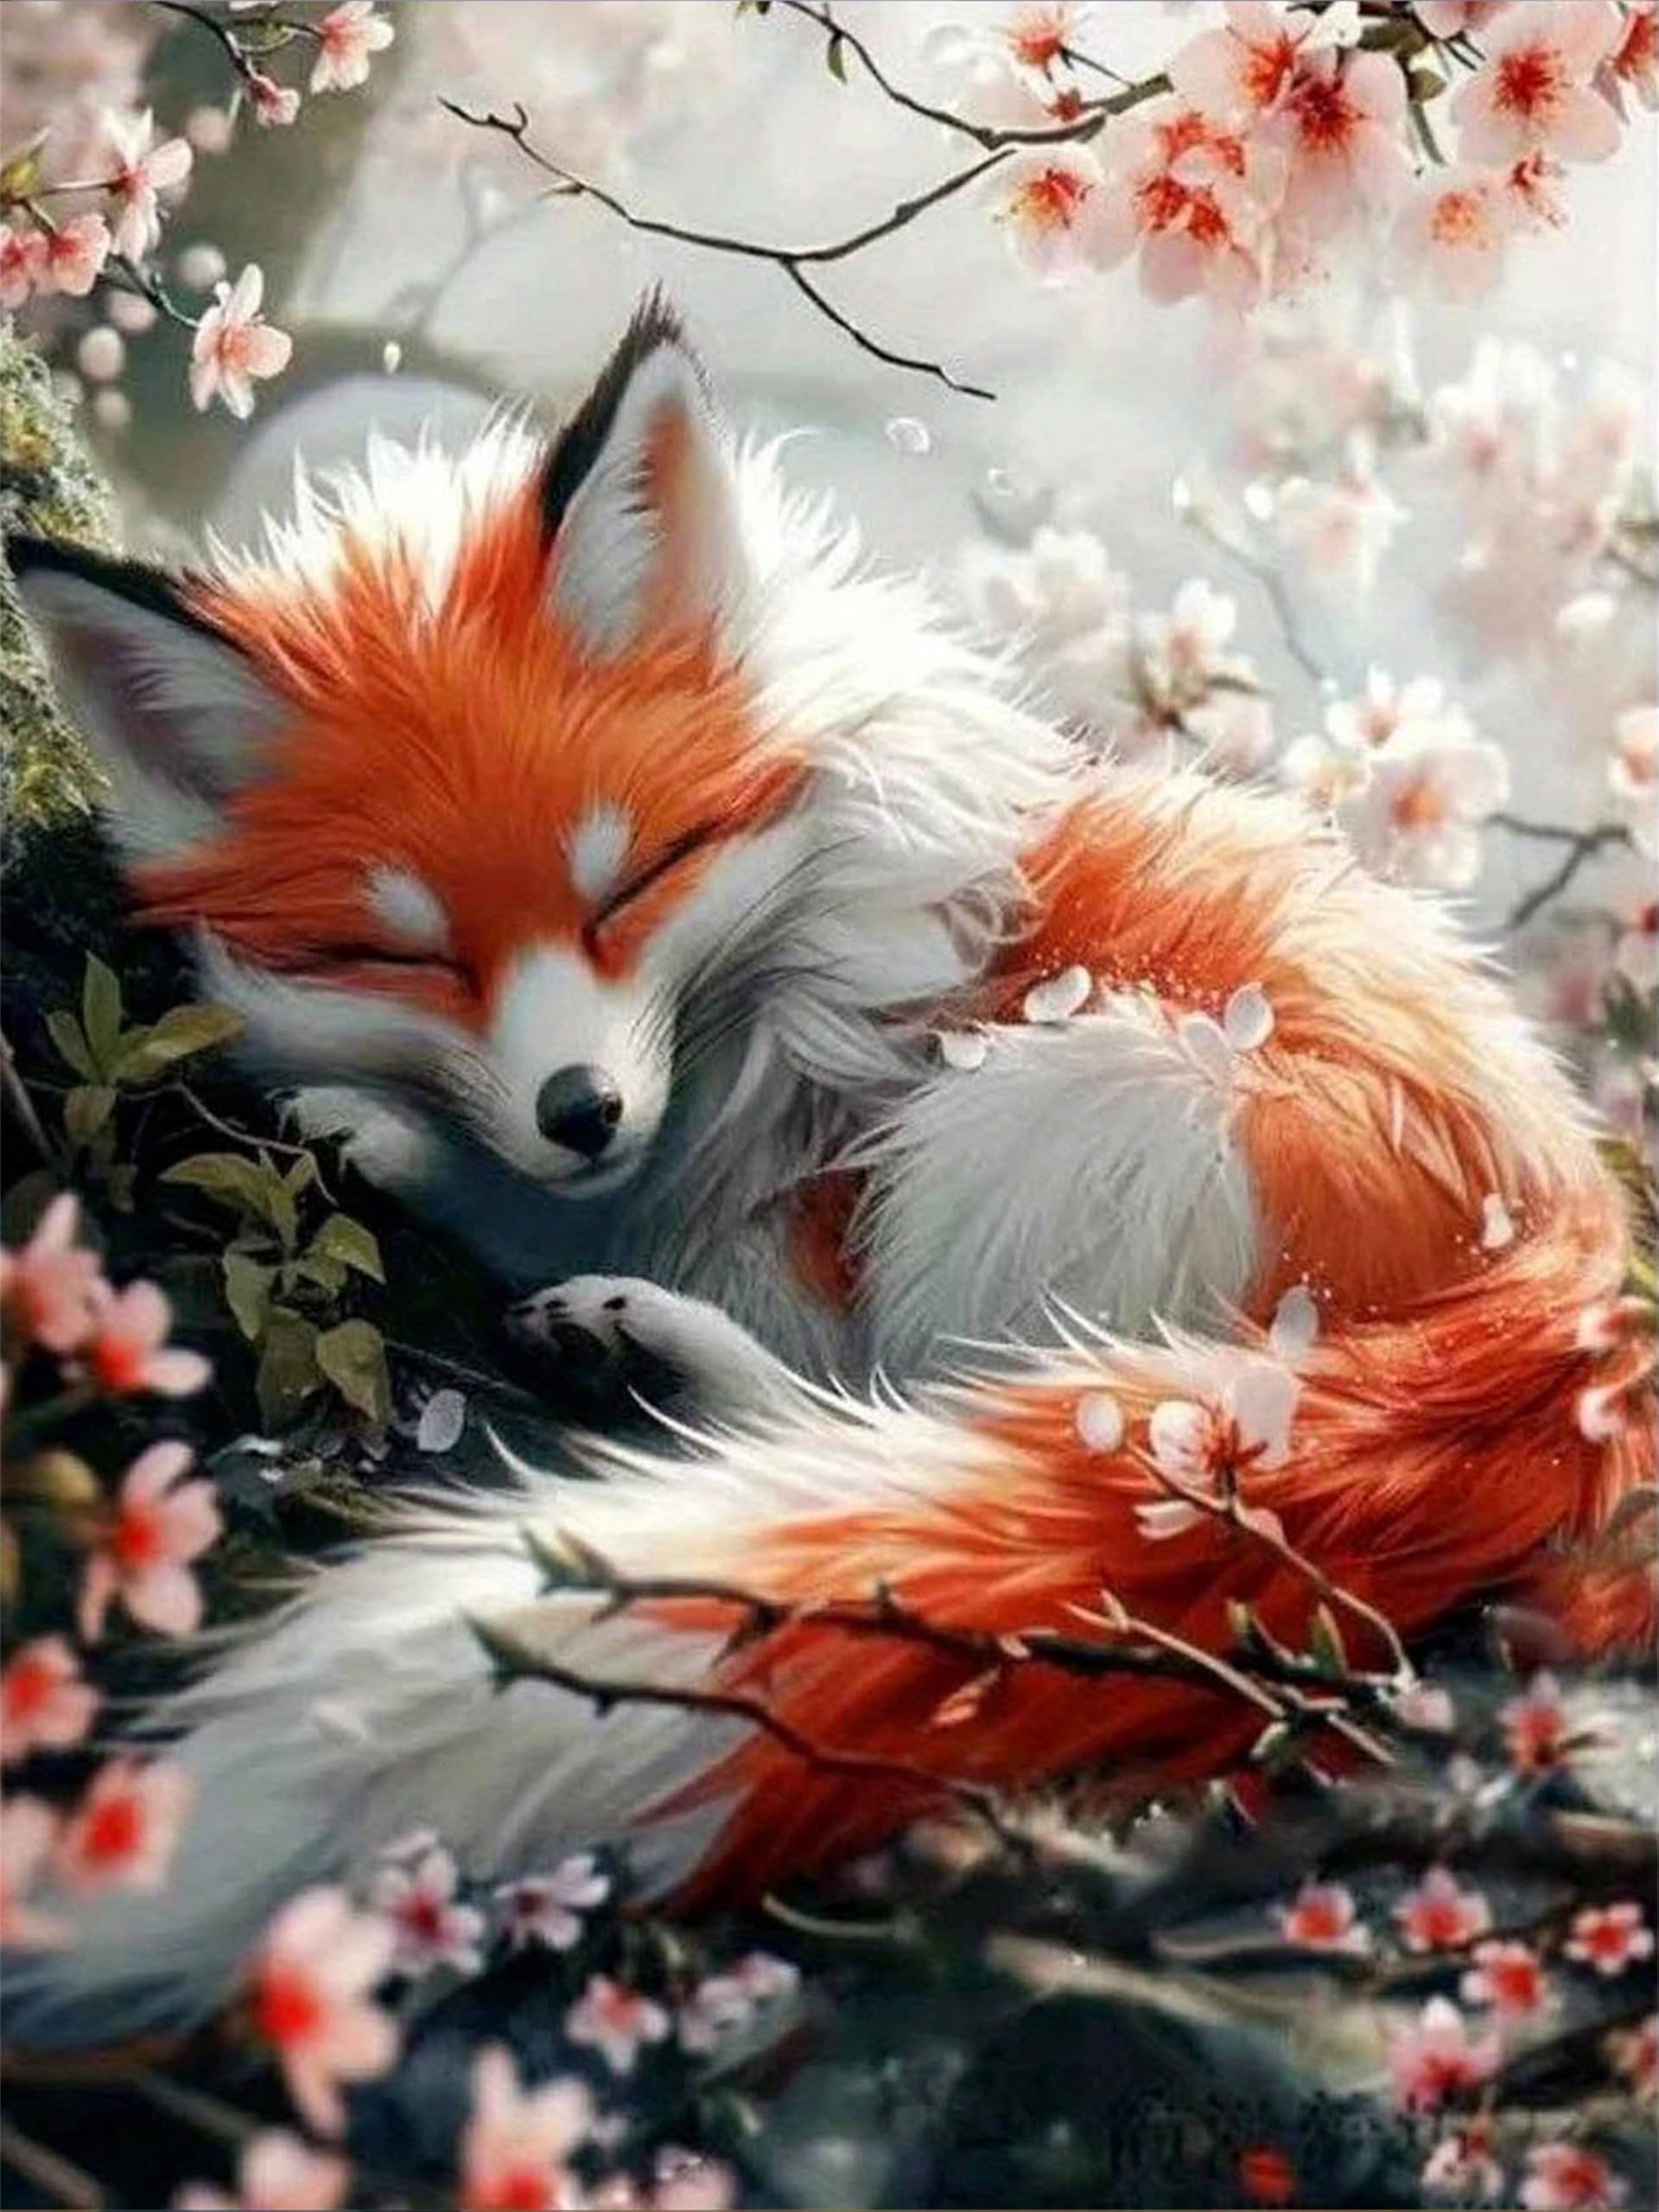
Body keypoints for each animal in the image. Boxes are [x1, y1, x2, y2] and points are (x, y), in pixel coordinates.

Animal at [8, 298, 1654, 2041]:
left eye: (632, 886)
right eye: (408, 956)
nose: (582, 1106)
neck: (784, 981)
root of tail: (1576, 1283)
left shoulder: (793, 1199)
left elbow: (550, 1217)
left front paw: (391, 1139)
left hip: (1052, 1124)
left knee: (870, 1415)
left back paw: (659, 1358)